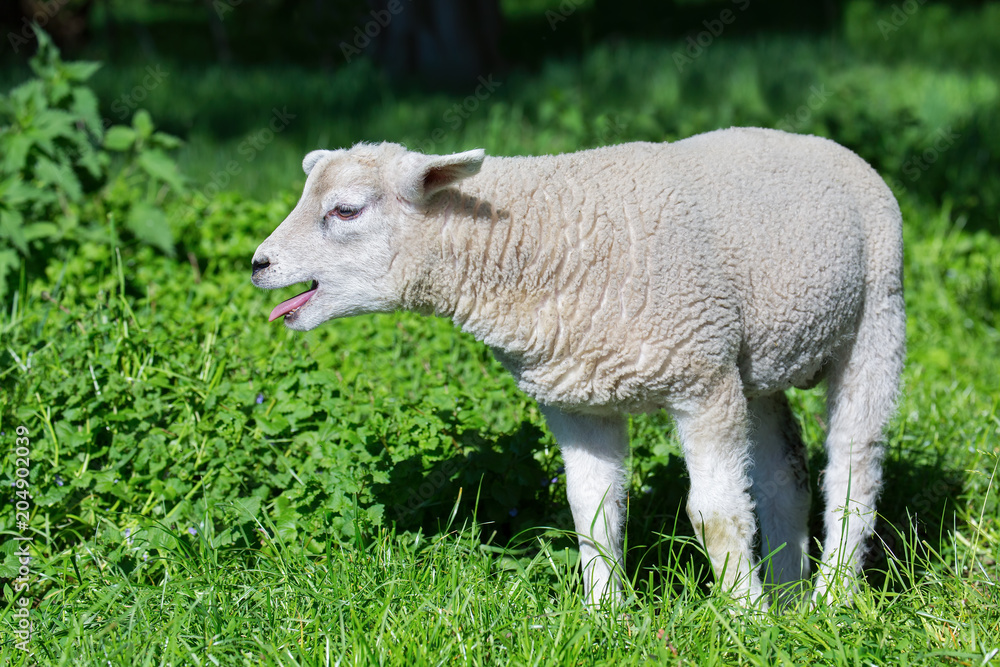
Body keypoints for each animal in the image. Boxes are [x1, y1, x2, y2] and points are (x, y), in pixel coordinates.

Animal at [250, 127, 905, 607]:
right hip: (758, 360)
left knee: (854, 468)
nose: (258, 264)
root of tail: (822, 143)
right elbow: (591, 508)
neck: (545, 238)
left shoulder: (703, 378)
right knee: (783, 474)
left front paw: (743, 619)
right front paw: (606, 616)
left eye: (346, 210)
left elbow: (716, 514)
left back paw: (831, 597)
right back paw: (789, 596)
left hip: (878, 314)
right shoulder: (577, 397)